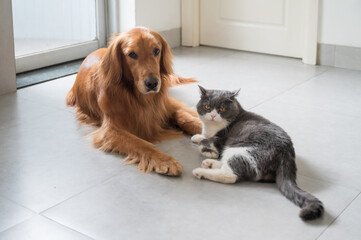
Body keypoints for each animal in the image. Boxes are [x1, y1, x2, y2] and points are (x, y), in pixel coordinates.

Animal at [191, 86, 324, 221]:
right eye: (207, 107)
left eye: (222, 109)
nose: (213, 115)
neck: (212, 127)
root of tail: (286, 153)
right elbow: (202, 137)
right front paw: (197, 137)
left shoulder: (223, 139)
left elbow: (203, 143)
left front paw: (210, 152)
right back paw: (209, 164)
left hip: (239, 148)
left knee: (230, 174)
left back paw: (201, 171)